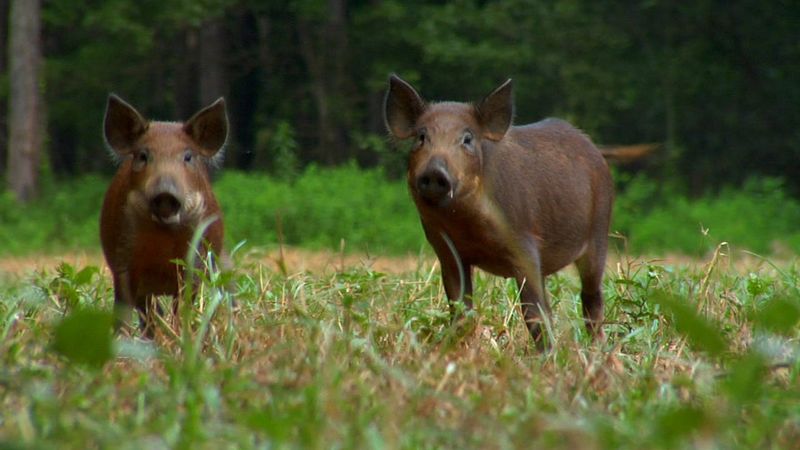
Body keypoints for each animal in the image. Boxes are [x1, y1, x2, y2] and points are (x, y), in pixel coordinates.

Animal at [100, 95, 227, 336]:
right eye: (143, 155)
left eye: (188, 156)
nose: (165, 193)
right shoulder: (122, 260)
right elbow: (125, 310)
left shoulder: (195, 262)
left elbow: (184, 307)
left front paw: (180, 337)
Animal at [384, 75, 614, 346]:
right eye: (421, 137)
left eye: (467, 139)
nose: (435, 172)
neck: (466, 224)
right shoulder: (446, 251)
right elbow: (460, 310)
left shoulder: (524, 243)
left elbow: (536, 314)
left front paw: (549, 353)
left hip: (599, 232)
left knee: (592, 299)